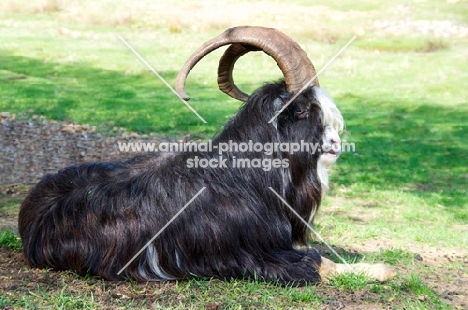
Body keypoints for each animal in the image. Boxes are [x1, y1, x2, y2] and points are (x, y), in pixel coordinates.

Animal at [18, 26, 394, 286]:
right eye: (302, 109)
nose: (335, 142)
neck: (244, 178)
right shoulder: (261, 259)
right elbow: (317, 263)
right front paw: (385, 268)